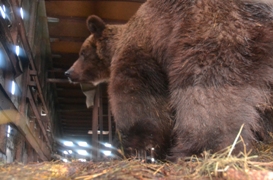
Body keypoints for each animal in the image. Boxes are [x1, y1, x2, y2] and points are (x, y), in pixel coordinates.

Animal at [65, 0, 272, 160]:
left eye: (82, 53)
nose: (68, 72)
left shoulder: (141, 53)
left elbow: (139, 103)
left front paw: (139, 147)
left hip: (213, 31)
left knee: (207, 92)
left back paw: (200, 148)